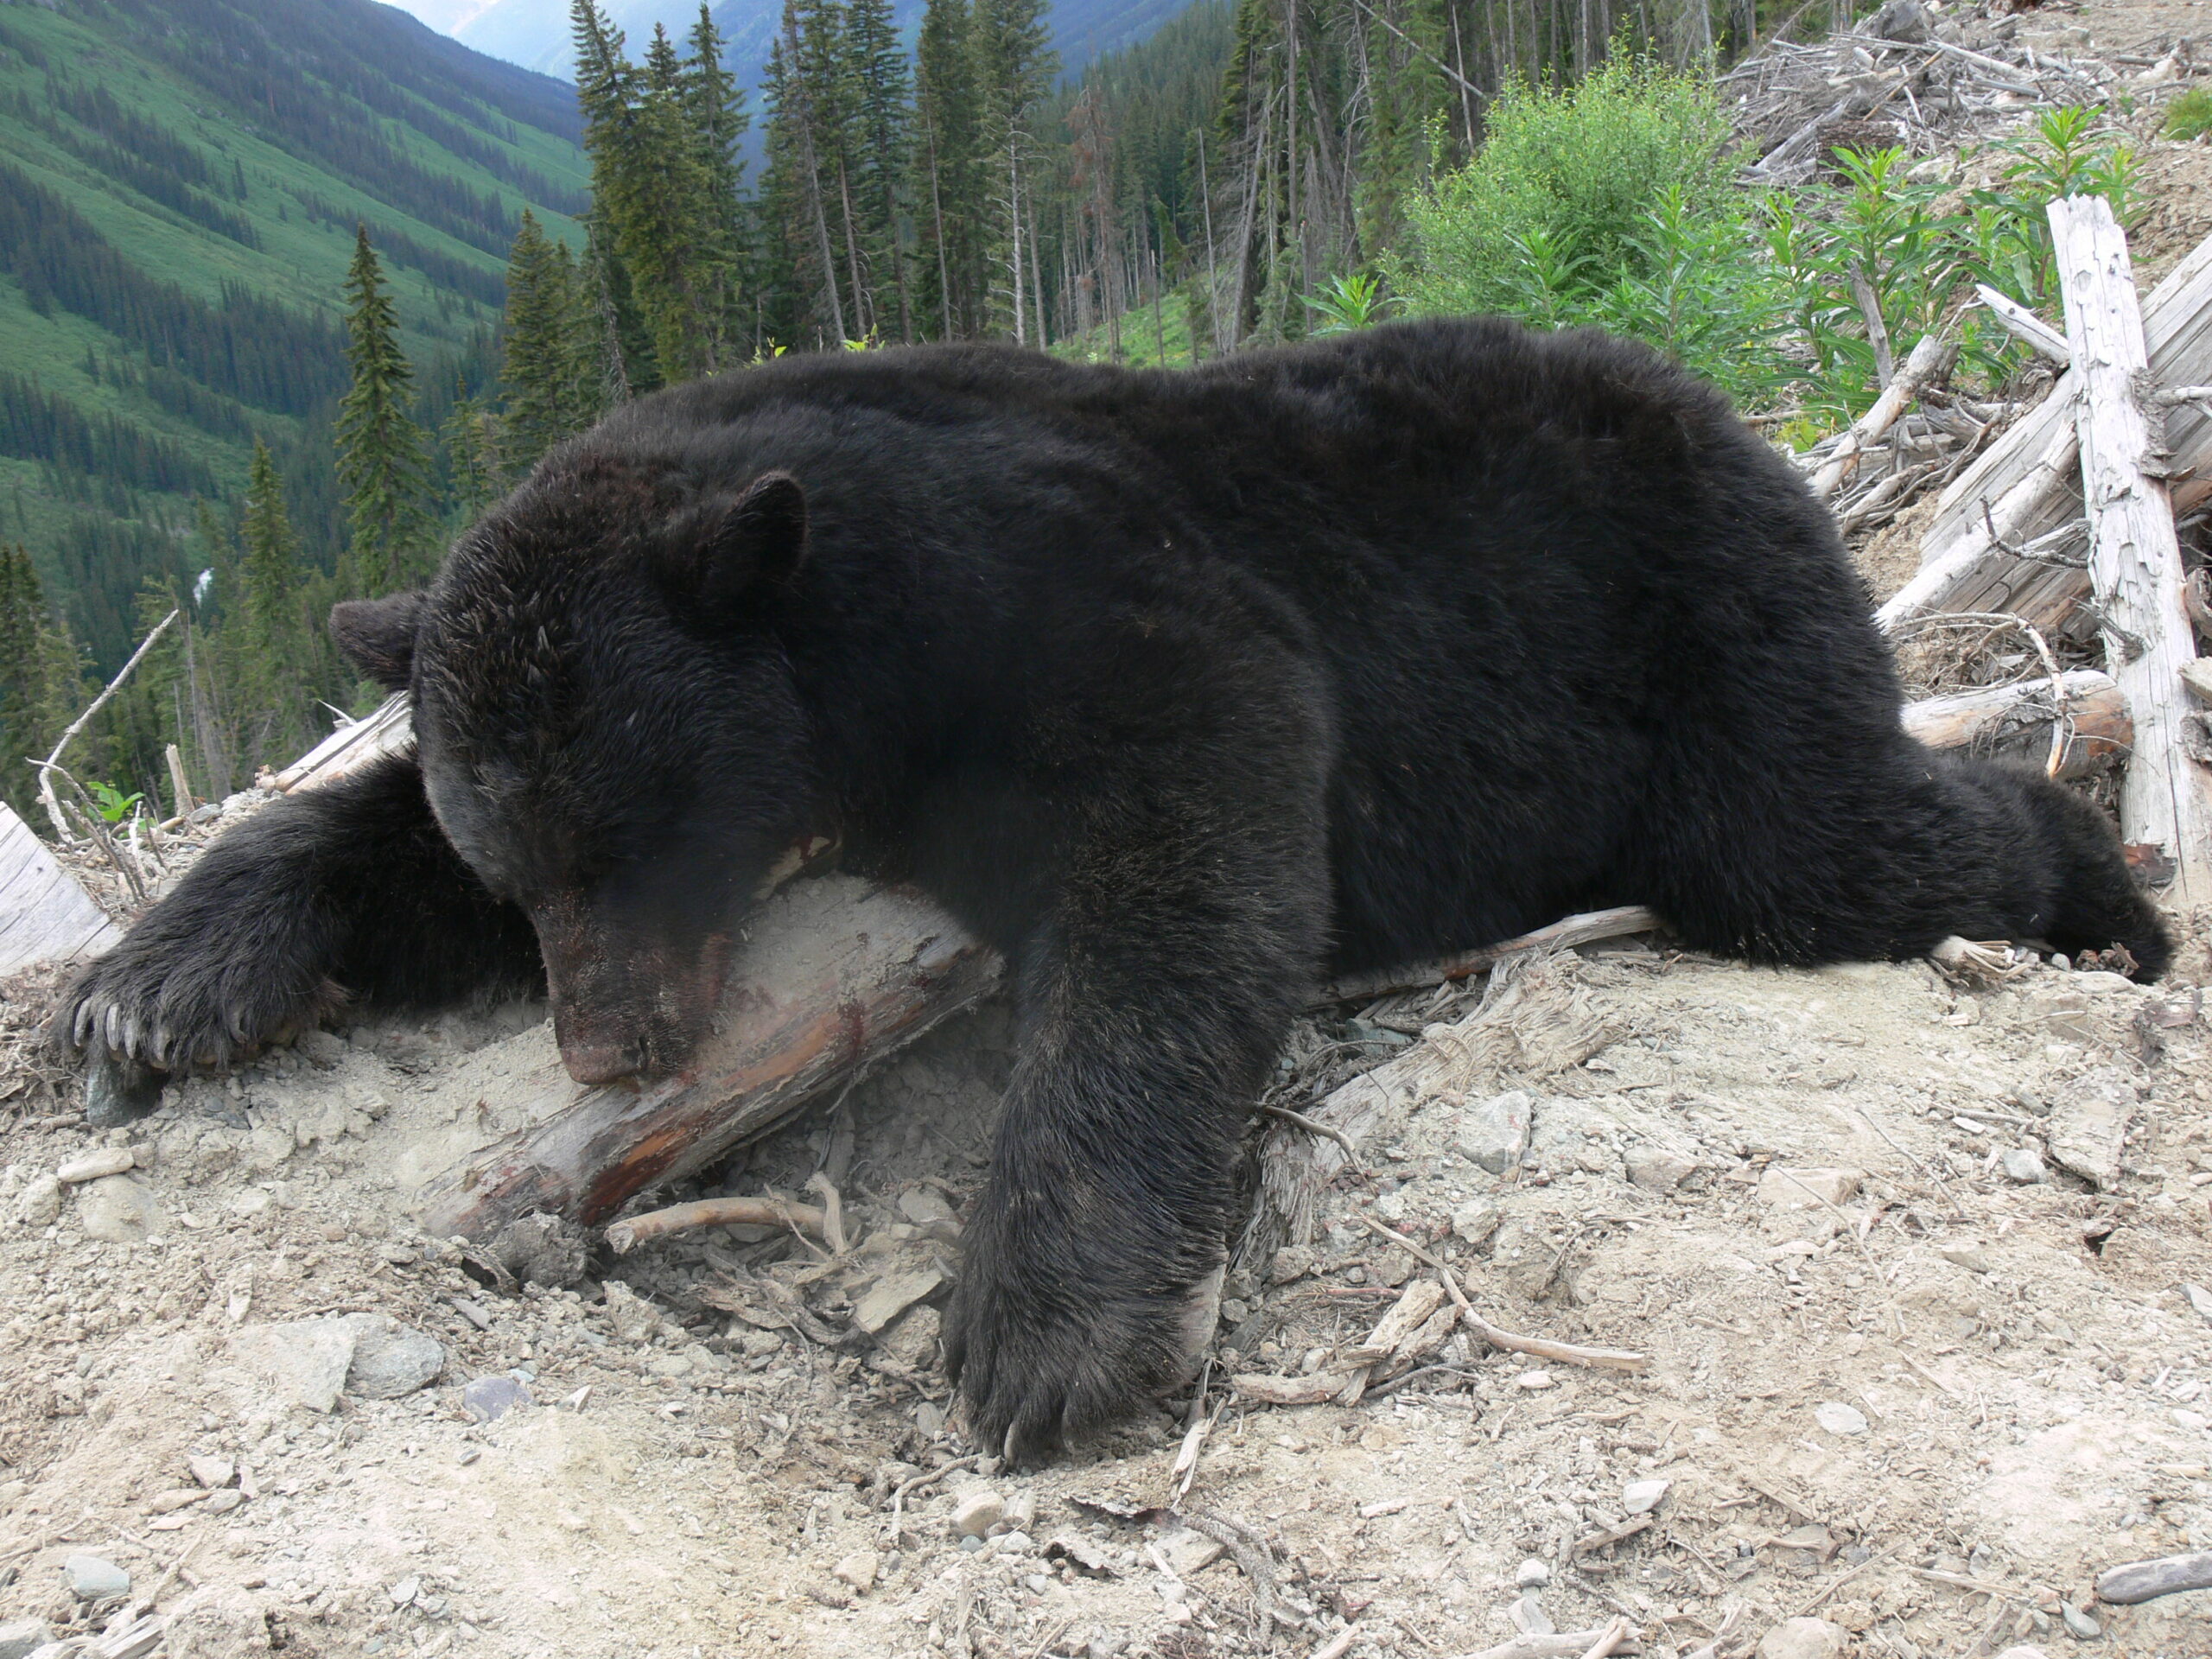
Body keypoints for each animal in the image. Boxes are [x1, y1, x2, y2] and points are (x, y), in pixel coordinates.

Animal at [57, 317, 2168, 1457]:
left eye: (639, 838)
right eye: (530, 872)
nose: (611, 1045)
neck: (845, 627)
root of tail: (1735, 417)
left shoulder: (1088, 597)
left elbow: (1194, 840)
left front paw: (1040, 1327)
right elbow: (369, 837)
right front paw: (159, 980)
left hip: (1700, 641)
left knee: (1829, 835)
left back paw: (2111, 889)